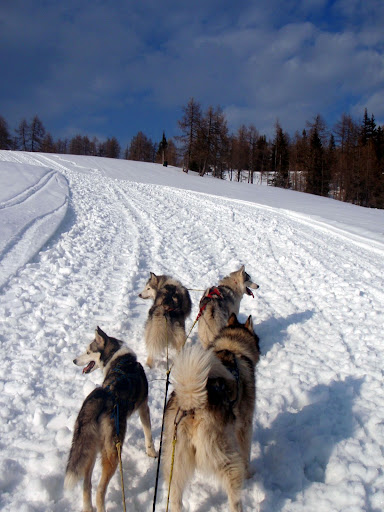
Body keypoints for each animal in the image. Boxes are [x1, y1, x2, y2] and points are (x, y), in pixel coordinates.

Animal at [64, 328, 156, 512]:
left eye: (88, 351)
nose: (74, 360)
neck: (118, 359)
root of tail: (102, 397)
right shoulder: (144, 407)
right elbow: (148, 434)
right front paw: (152, 453)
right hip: (113, 453)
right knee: (100, 491)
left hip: (90, 451)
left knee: (87, 486)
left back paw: (88, 508)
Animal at [160, 314, 260, 510]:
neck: (231, 347)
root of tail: (192, 403)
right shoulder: (245, 426)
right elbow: (246, 453)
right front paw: (250, 474)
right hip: (226, 460)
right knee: (234, 493)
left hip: (176, 462)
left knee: (174, 495)